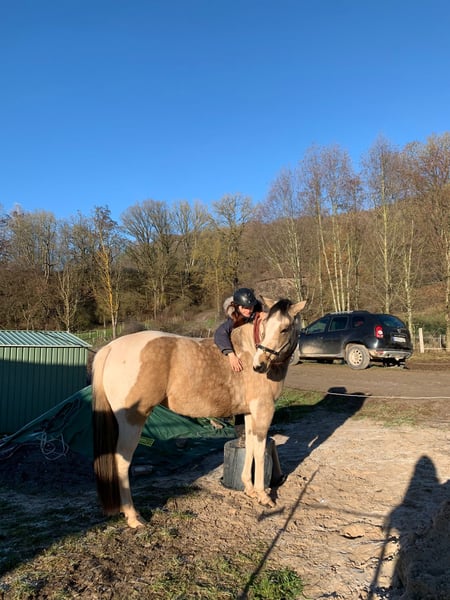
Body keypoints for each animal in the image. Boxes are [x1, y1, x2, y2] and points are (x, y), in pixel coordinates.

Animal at [92, 296, 306, 528]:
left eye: (284, 329)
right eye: (266, 326)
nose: (259, 365)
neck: (248, 350)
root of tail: (110, 347)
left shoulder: (250, 413)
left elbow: (249, 446)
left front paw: (249, 489)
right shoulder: (263, 410)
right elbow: (259, 450)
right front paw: (263, 495)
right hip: (132, 421)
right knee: (122, 462)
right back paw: (133, 517)